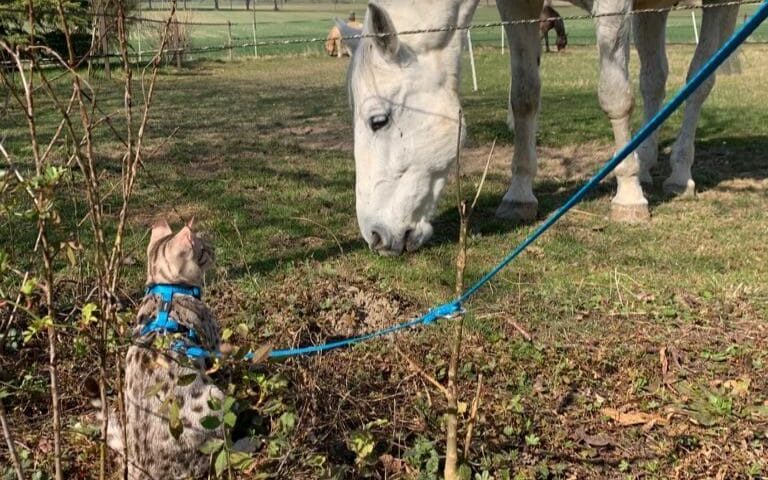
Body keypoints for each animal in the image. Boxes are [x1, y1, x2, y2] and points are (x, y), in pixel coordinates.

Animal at [344, 0, 740, 255]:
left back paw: (679, 176)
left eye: (378, 120)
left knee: (699, 80)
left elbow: (615, 96)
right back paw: (644, 163)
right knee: (654, 78)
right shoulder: (519, 9)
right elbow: (523, 96)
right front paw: (519, 196)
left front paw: (628, 198)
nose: (375, 236)